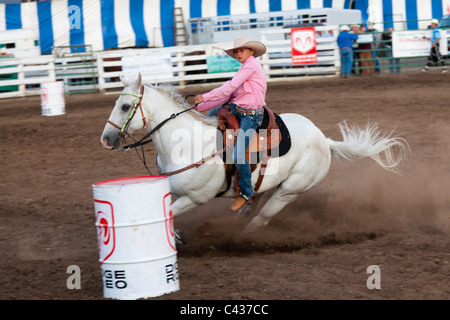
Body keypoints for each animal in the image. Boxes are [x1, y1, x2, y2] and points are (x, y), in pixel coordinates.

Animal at [100, 73, 410, 232]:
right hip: (264, 186)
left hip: (289, 191)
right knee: (251, 203)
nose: (106, 138)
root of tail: (325, 140)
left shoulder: (194, 198)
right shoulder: (173, 192)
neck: (187, 144)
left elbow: (170, 215)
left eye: (125, 107)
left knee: (261, 219)